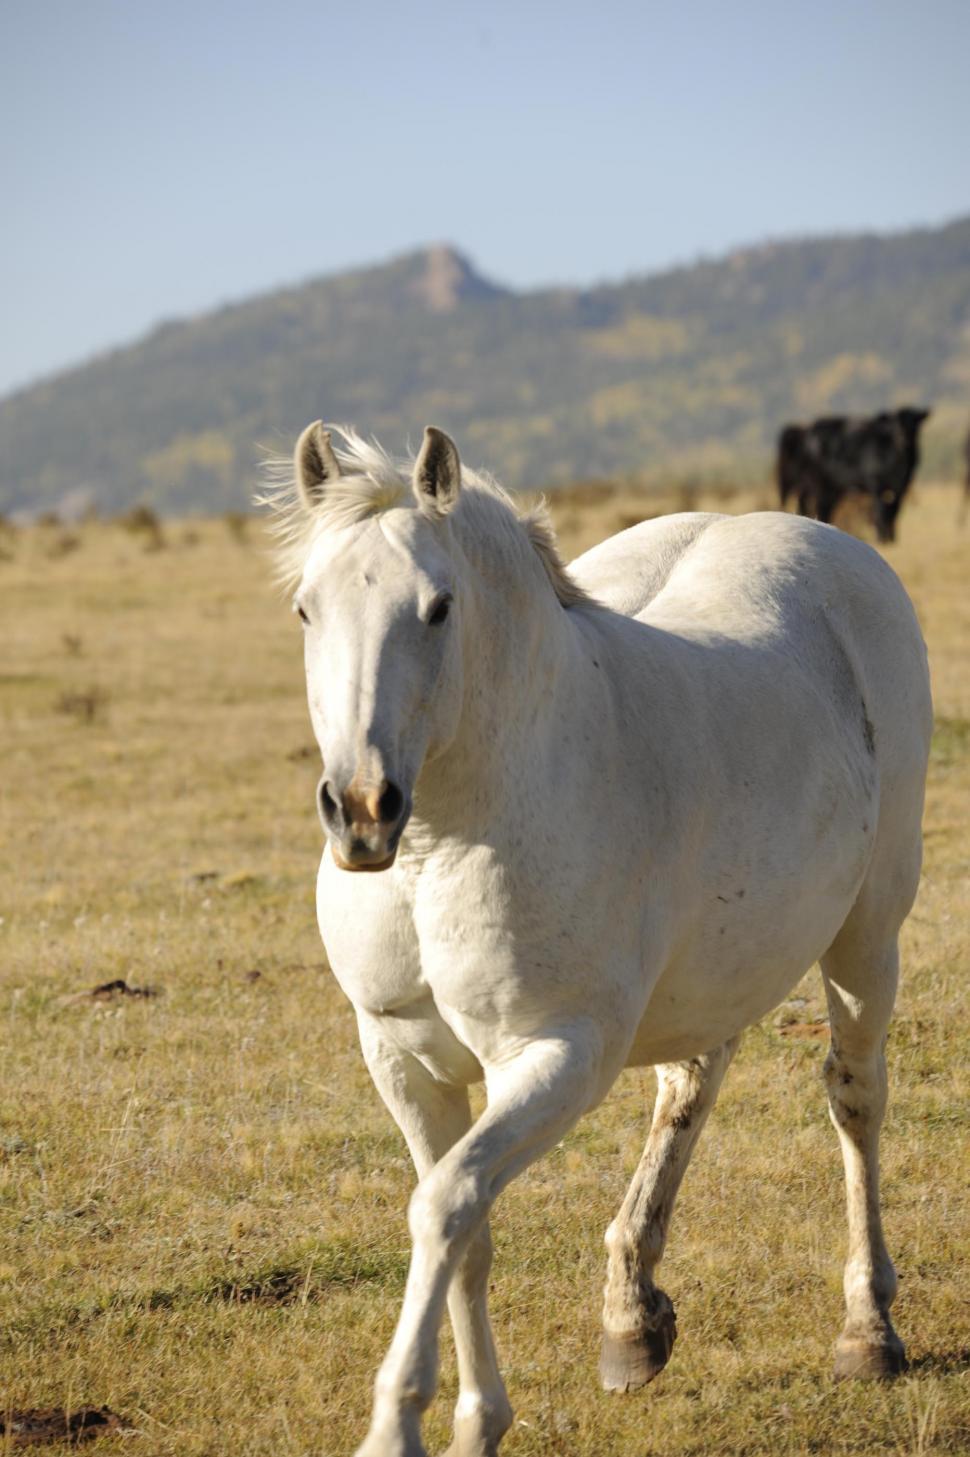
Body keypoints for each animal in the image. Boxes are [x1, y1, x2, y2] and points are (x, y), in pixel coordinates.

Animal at [263, 421, 931, 1457]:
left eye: (438, 607)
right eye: (306, 608)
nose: (363, 810)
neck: (444, 843)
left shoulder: (556, 1056)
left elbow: (444, 1205)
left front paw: (401, 1422)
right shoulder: (401, 1057)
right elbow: (465, 1226)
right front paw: (478, 1421)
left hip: (867, 938)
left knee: (854, 1099)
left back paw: (868, 1330)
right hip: (715, 966)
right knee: (692, 1084)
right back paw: (632, 1316)